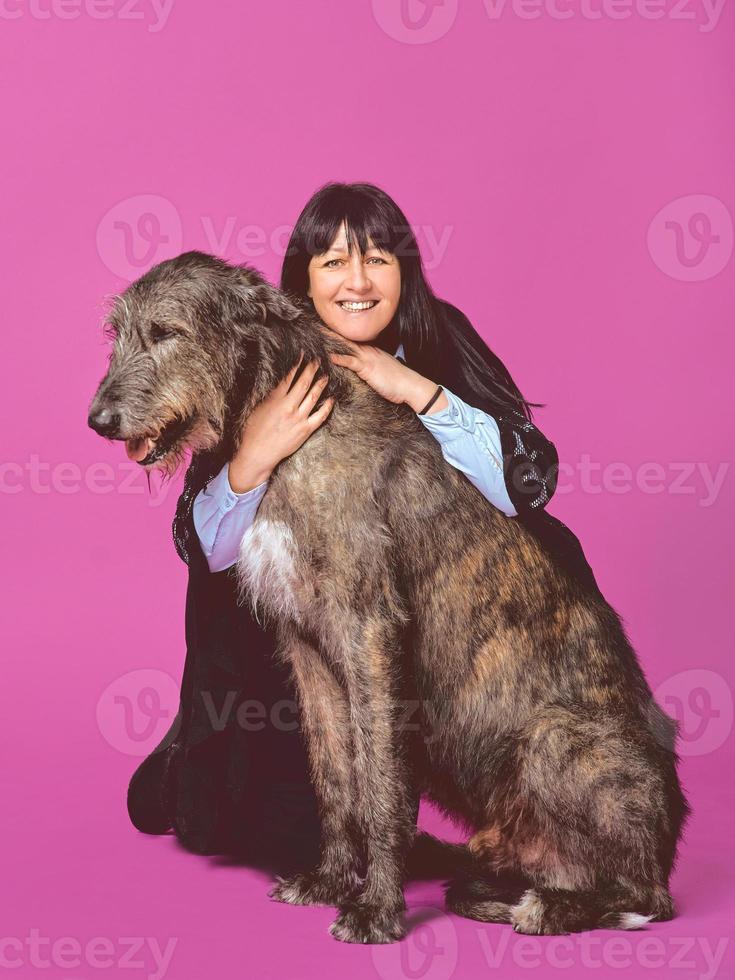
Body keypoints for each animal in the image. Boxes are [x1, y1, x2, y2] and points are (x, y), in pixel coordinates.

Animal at [87, 251, 688, 940]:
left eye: (166, 332)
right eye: (118, 333)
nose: (97, 421)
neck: (288, 429)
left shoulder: (368, 627)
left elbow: (377, 779)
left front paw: (376, 907)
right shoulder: (306, 642)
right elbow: (334, 775)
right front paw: (328, 881)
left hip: (554, 742)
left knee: (644, 896)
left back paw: (549, 907)